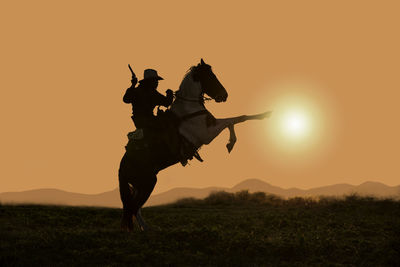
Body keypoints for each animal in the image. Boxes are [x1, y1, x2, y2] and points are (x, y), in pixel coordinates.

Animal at [117, 59, 270, 232]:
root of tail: (122, 168)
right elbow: (235, 119)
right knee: (134, 207)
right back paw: (145, 229)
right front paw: (260, 118)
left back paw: (143, 228)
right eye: (211, 76)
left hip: (139, 185)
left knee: (134, 208)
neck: (189, 109)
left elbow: (233, 121)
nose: (224, 95)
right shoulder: (208, 133)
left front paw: (232, 142)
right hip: (148, 182)